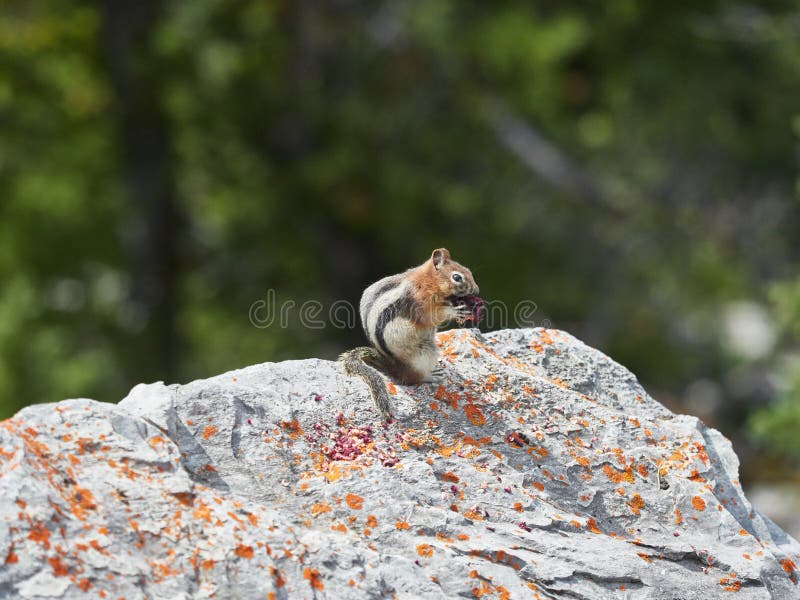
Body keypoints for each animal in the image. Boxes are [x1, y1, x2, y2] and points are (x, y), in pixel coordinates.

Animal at [338, 248, 482, 418]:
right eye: (457, 277)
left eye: (469, 271)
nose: (477, 290)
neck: (427, 281)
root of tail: (393, 366)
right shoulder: (418, 299)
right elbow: (430, 316)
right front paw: (455, 311)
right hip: (423, 354)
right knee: (412, 379)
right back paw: (430, 376)